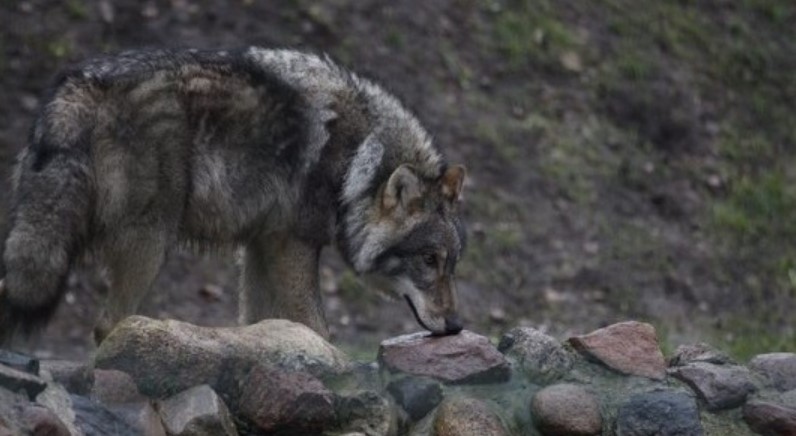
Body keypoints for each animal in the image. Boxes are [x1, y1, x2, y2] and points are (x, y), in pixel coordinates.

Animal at [0, 47, 466, 344]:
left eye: (452, 265)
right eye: (429, 260)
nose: (458, 324)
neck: (358, 160)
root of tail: (79, 84)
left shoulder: (262, 246)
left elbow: (259, 327)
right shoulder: (292, 246)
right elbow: (317, 328)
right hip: (151, 243)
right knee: (108, 325)